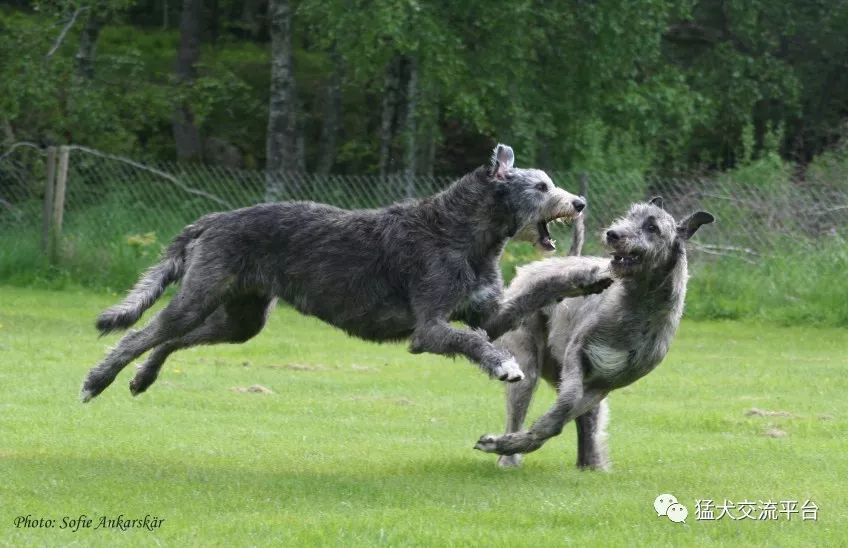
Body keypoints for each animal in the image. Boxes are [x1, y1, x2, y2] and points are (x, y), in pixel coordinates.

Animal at [79, 144, 612, 402]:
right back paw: (97, 381)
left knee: (171, 340)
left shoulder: (488, 312)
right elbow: (471, 340)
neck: (458, 231)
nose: (580, 202)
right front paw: (503, 365)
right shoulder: (429, 328)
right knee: (144, 333)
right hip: (199, 295)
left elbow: (537, 291)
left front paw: (590, 277)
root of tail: (214, 219)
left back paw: (143, 378)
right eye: (540, 186)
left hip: (241, 319)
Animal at [474, 197, 712, 466]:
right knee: (521, 398)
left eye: (652, 227)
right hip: (528, 357)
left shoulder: (604, 384)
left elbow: (561, 417)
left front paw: (527, 438)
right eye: (629, 216)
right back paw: (509, 460)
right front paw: (506, 444)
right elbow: (568, 400)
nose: (613, 234)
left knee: (588, 420)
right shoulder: (576, 352)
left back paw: (590, 463)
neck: (637, 306)